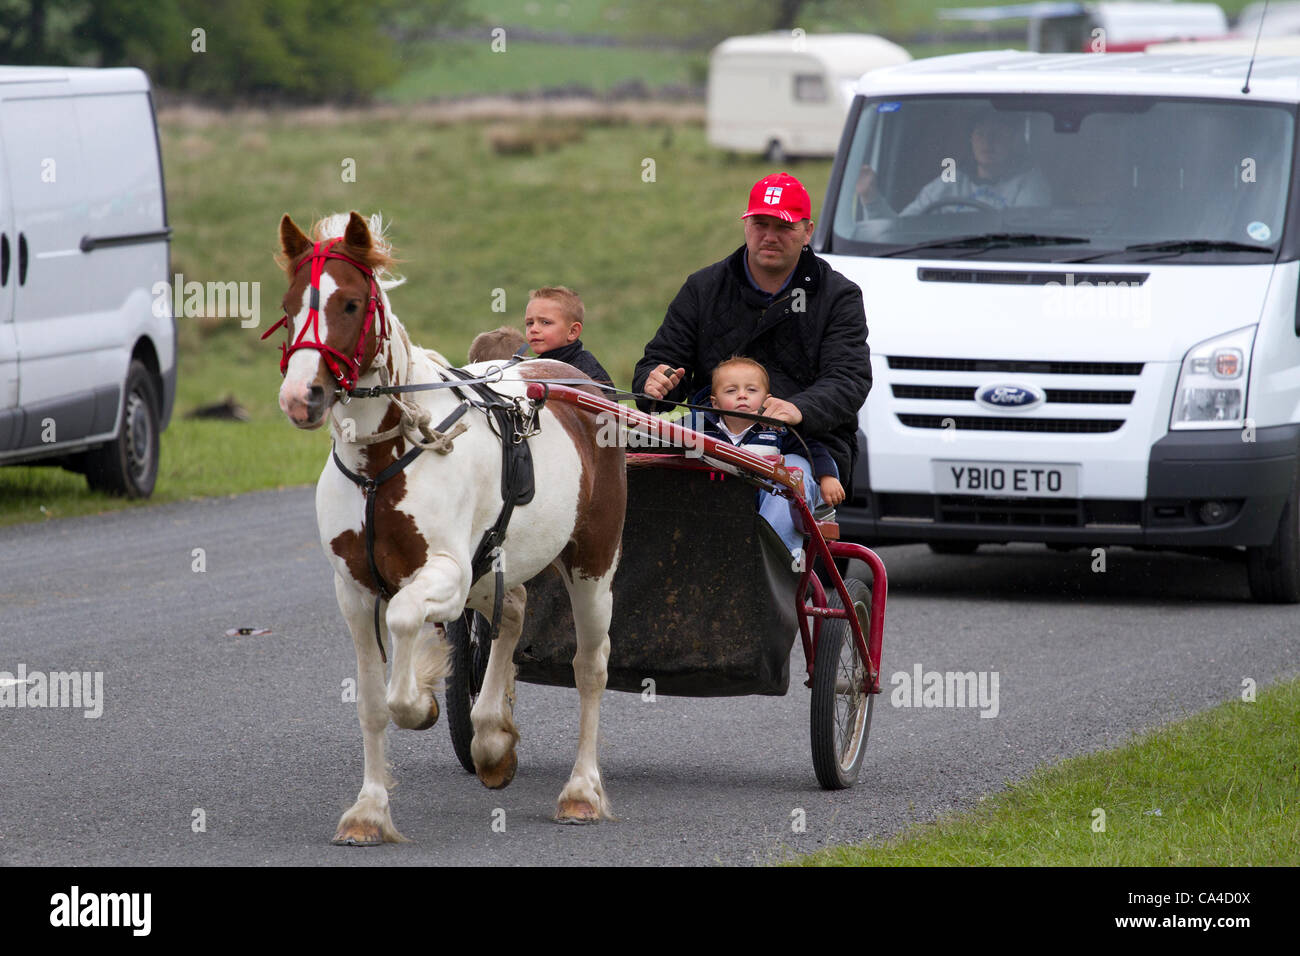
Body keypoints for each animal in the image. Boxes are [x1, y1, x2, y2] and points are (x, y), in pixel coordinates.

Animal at [269, 213, 624, 842]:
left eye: (351, 303)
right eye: (289, 307)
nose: (301, 397)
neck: (382, 461)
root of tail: (566, 377)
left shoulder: (447, 572)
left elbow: (405, 633)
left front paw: (419, 699)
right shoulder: (354, 588)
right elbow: (371, 702)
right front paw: (369, 810)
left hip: (592, 561)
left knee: (590, 667)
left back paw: (581, 790)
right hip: (492, 564)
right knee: (513, 610)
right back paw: (491, 737)